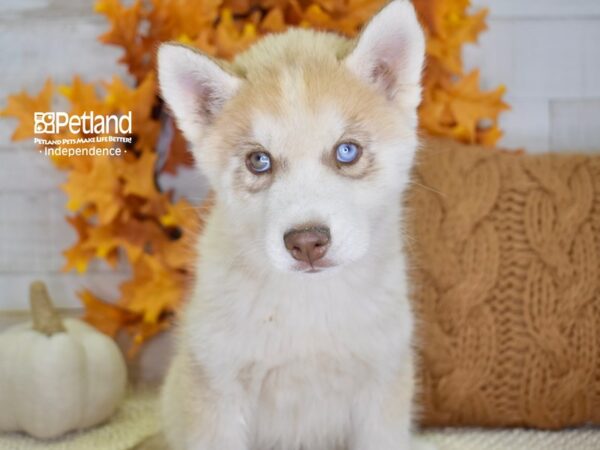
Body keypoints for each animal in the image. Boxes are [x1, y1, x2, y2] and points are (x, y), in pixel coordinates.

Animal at [157, 1, 428, 448]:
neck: (308, 308)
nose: (306, 243)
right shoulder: (215, 387)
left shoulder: (382, 384)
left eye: (347, 151)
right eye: (259, 160)